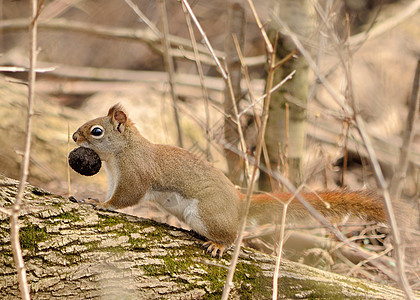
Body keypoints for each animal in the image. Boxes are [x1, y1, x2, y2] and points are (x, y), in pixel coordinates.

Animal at [73, 104, 388, 256]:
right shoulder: (115, 176)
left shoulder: (135, 173)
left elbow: (127, 197)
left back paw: (219, 244)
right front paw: (94, 198)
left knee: (233, 236)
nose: (74, 136)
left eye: (97, 131)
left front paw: (103, 205)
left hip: (207, 212)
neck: (120, 154)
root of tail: (238, 204)